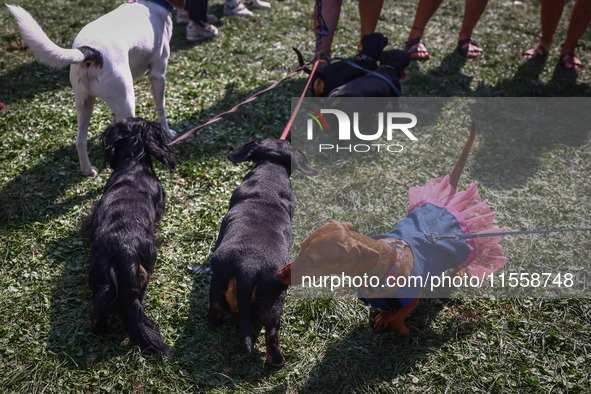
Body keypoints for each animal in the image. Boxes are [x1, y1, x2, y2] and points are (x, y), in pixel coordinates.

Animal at [5, 0, 184, 175]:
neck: (152, 4)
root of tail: (90, 51)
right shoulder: (158, 74)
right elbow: (161, 109)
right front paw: (168, 133)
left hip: (85, 102)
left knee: (80, 141)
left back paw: (88, 170)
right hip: (126, 99)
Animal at [208, 139, 320, 366]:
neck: (271, 168)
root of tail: (248, 266)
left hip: (219, 286)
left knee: (216, 313)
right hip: (273, 305)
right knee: (271, 335)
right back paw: (277, 362)